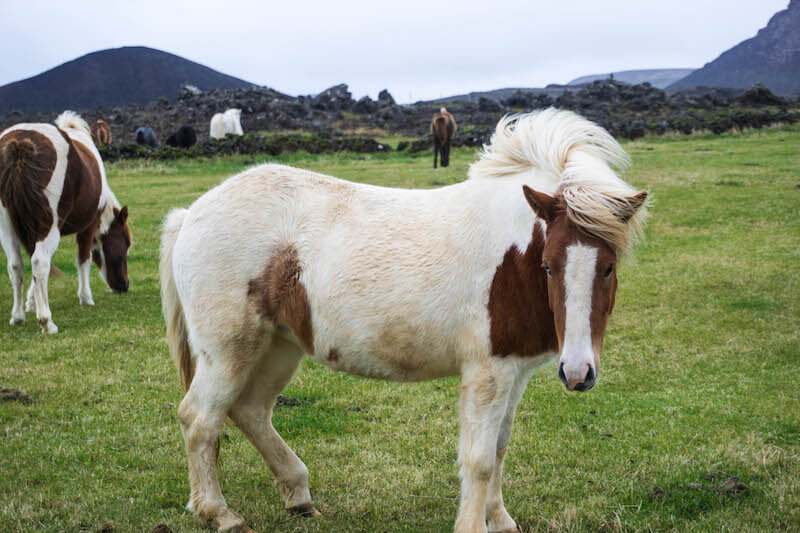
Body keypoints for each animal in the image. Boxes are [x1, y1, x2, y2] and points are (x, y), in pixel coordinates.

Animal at [0, 110, 131, 332]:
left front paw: (31, 302)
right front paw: (86, 298)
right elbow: (84, 259)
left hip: (7, 227)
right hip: (48, 227)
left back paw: (17, 316)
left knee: (16, 265)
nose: (124, 286)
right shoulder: (89, 226)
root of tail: (19, 145)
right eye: (127, 243)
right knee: (40, 262)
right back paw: (47, 321)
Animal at [159, 108, 648, 532]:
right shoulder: (488, 372)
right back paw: (221, 514)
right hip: (229, 351)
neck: (513, 254)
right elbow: (479, 459)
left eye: (609, 267)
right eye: (548, 265)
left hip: (278, 346)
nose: (578, 372)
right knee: (199, 418)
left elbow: (500, 448)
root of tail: (189, 215)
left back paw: (298, 494)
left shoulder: (516, 369)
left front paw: (502, 521)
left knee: (250, 410)